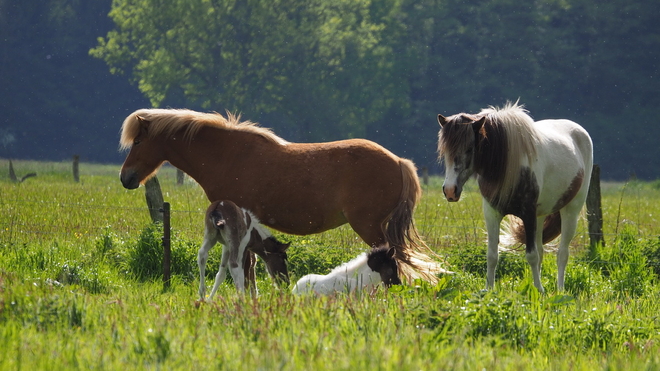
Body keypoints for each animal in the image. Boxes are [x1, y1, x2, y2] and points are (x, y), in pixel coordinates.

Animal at [120, 109, 446, 284]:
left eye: (138, 141)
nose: (126, 177)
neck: (226, 155)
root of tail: (398, 161)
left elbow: (244, 266)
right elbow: (251, 264)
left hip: (369, 228)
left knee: (392, 262)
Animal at [438, 101, 592, 294]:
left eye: (469, 148)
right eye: (445, 150)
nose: (450, 190)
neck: (507, 164)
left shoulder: (528, 214)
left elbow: (531, 255)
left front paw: (539, 290)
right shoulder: (492, 213)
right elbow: (492, 255)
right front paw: (489, 289)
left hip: (570, 210)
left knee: (562, 253)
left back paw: (560, 289)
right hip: (540, 215)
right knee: (542, 250)